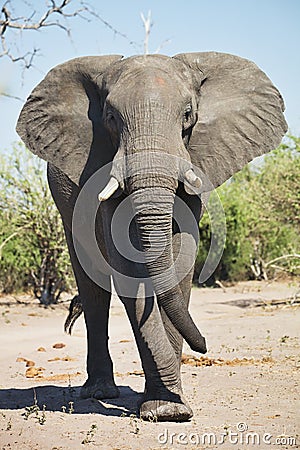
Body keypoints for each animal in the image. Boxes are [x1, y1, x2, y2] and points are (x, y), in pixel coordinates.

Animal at [15, 52, 288, 422]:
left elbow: (181, 265)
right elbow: (127, 268)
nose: (204, 346)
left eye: (187, 115)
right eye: (110, 118)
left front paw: (171, 407)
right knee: (93, 285)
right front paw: (166, 410)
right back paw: (99, 392)